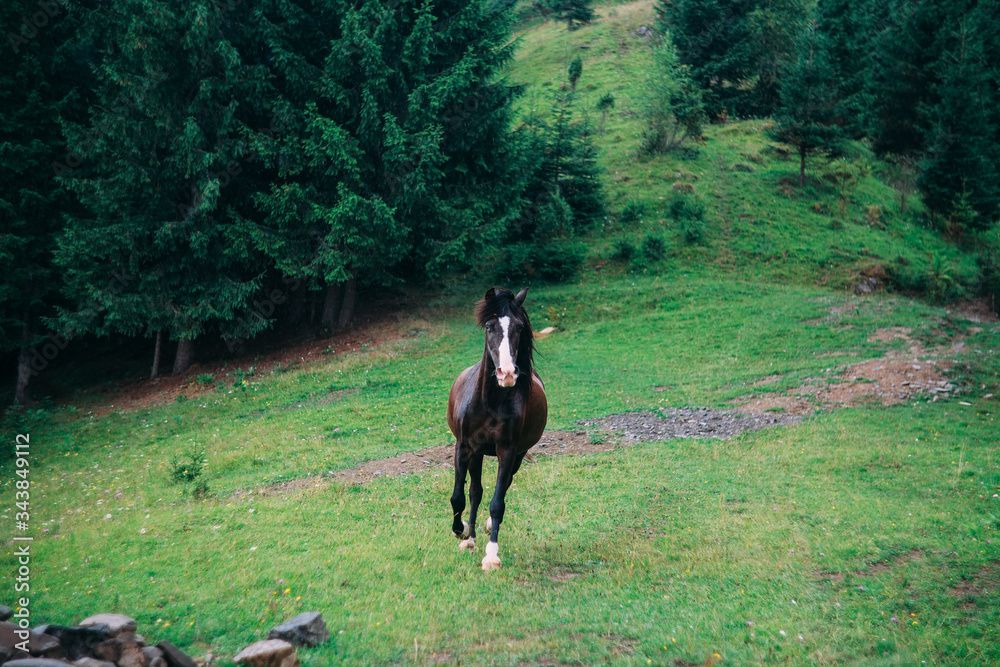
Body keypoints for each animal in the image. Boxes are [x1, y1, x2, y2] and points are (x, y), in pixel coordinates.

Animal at [446, 287, 548, 571]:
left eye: (519, 327)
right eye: (490, 327)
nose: (507, 374)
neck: (490, 403)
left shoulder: (508, 451)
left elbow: (497, 502)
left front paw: (491, 554)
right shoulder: (464, 448)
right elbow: (459, 496)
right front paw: (461, 530)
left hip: (518, 455)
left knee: (501, 487)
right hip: (477, 454)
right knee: (475, 492)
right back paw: (469, 537)